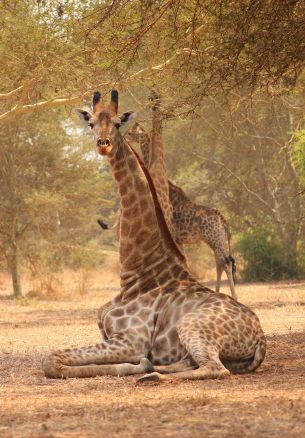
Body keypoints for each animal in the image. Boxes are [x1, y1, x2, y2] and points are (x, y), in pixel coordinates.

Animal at [124, 122, 236, 302]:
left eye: (130, 133)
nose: (124, 138)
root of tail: (223, 220)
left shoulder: (174, 236)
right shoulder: (179, 239)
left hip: (215, 239)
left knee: (226, 263)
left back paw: (234, 296)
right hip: (215, 240)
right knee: (220, 263)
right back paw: (218, 293)